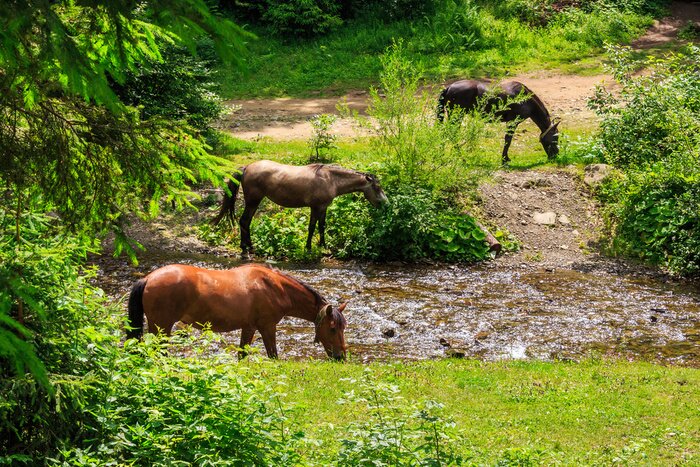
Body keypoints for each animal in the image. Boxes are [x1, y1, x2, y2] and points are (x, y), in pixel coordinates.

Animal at [126, 263, 348, 360]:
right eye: (333, 328)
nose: (341, 357)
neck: (275, 287)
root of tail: (148, 278)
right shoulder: (267, 327)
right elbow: (273, 355)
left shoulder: (249, 327)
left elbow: (242, 355)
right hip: (161, 327)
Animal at [211, 160, 388, 256]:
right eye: (377, 187)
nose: (385, 203)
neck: (330, 179)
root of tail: (246, 167)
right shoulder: (316, 207)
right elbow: (311, 227)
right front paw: (308, 248)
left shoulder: (323, 208)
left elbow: (321, 226)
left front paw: (323, 246)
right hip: (253, 201)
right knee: (244, 221)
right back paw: (246, 248)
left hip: (254, 202)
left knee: (246, 222)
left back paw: (250, 247)